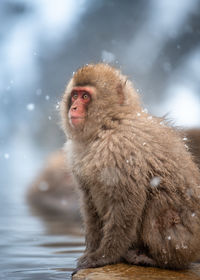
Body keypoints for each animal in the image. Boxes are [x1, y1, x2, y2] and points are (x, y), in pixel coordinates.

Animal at [60, 64, 200, 274]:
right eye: (74, 95)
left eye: (85, 96)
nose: (74, 107)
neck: (109, 124)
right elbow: (89, 202)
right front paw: (91, 251)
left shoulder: (121, 149)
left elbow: (128, 201)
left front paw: (104, 256)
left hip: (182, 241)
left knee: (157, 201)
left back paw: (156, 260)